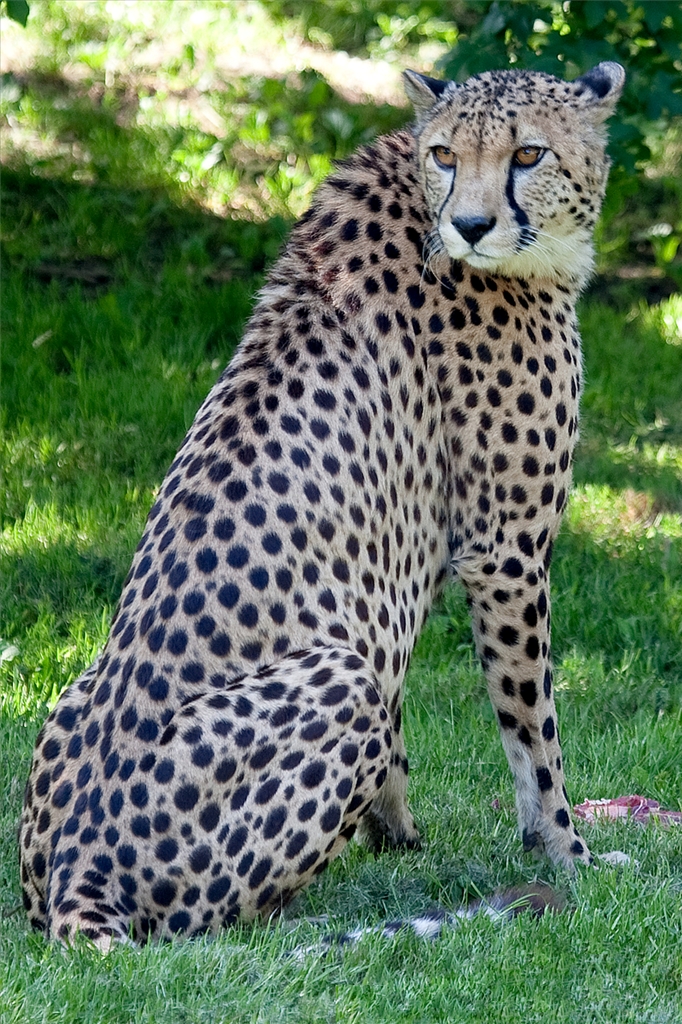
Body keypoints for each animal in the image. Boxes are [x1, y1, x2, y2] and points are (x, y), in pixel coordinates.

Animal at [19, 60, 625, 949]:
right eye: (447, 153)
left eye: (528, 153)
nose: (473, 225)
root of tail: (72, 879)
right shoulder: (507, 554)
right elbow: (534, 736)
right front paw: (568, 854)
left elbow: (407, 730)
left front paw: (398, 839)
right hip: (339, 684)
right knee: (214, 925)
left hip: (73, 693)